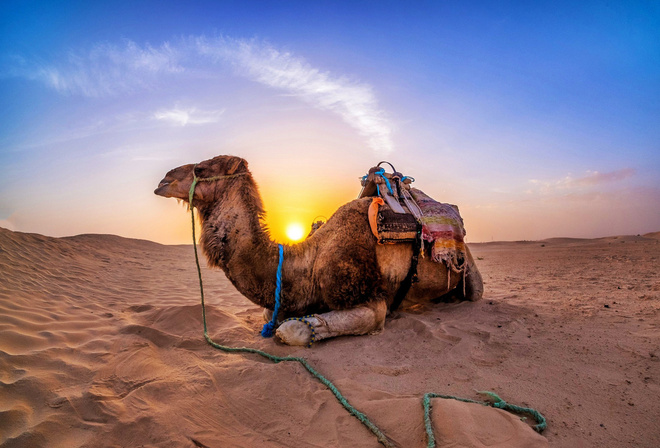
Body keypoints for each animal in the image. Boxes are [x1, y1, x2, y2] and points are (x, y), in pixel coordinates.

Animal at [154, 155, 483, 346]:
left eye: (200, 169)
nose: (162, 181)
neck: (306, 265)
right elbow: (269, 314)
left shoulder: (370, 298)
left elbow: (291, 330)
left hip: (471, 275)